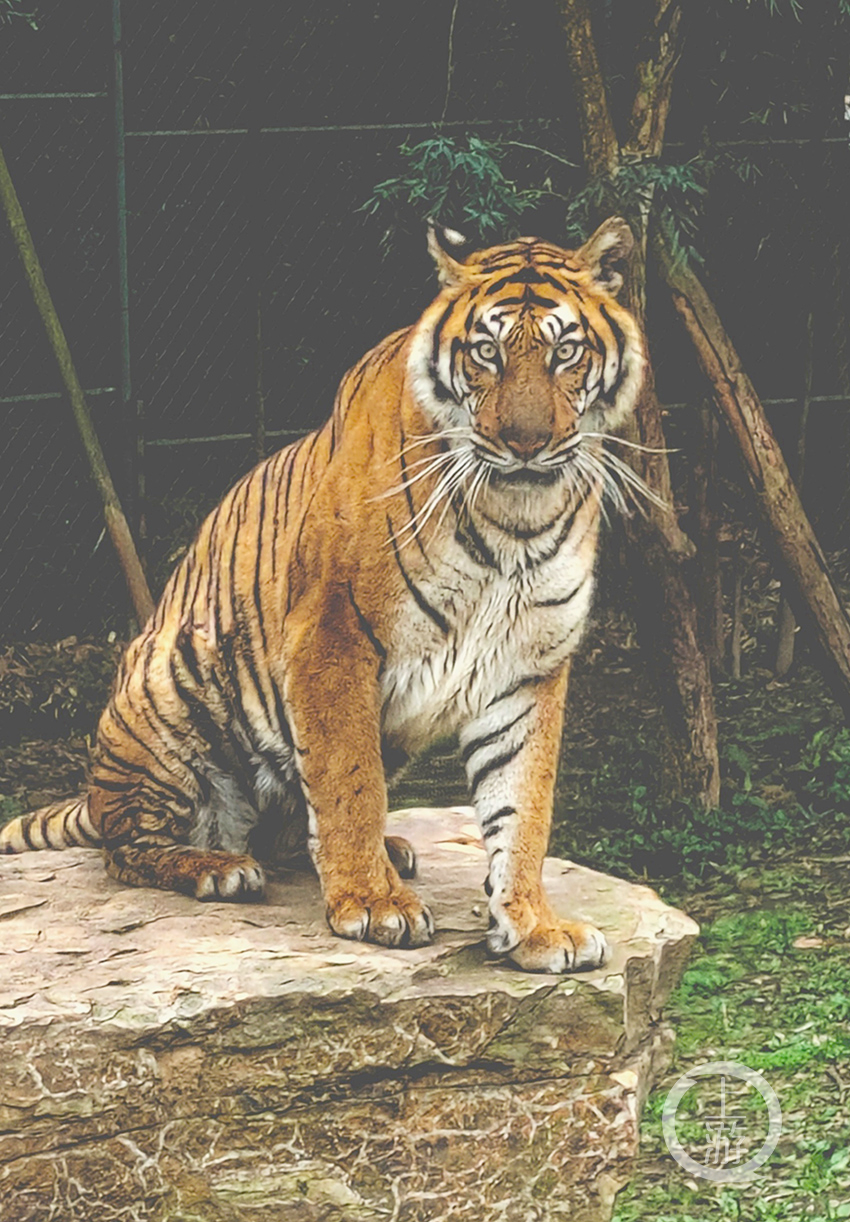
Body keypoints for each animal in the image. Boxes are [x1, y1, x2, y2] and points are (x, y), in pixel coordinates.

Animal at [0, 217, 644, 972]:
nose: (525, 443)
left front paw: (535, 927)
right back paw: (217, 867)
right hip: (173, 675)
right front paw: (373, 904)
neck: (514, 511)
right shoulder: (334, 633)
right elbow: (347, 779)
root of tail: (92, 792)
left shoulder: (530, 663)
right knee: (126, 847)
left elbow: (523, 806)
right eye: (486, 353)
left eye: (565, 352)